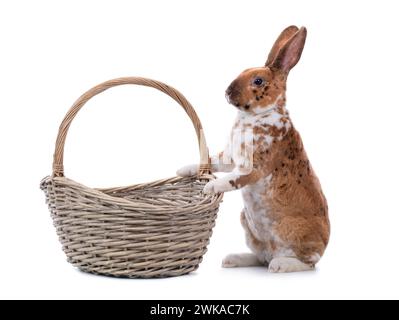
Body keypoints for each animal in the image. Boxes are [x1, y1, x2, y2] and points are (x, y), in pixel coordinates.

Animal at [179, 26, 332, 274]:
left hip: (292, 232)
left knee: (308, 262)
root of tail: (325, 244)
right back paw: (232, 259)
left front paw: (211, 187)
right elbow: (210, 161)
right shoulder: (229, 158)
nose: (227, 92)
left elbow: (232, 180)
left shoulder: (253, 167)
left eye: (258, 81)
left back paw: (280, 265)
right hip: (248, 226)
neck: (256, 116)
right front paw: (184, 169)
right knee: (261, 257)